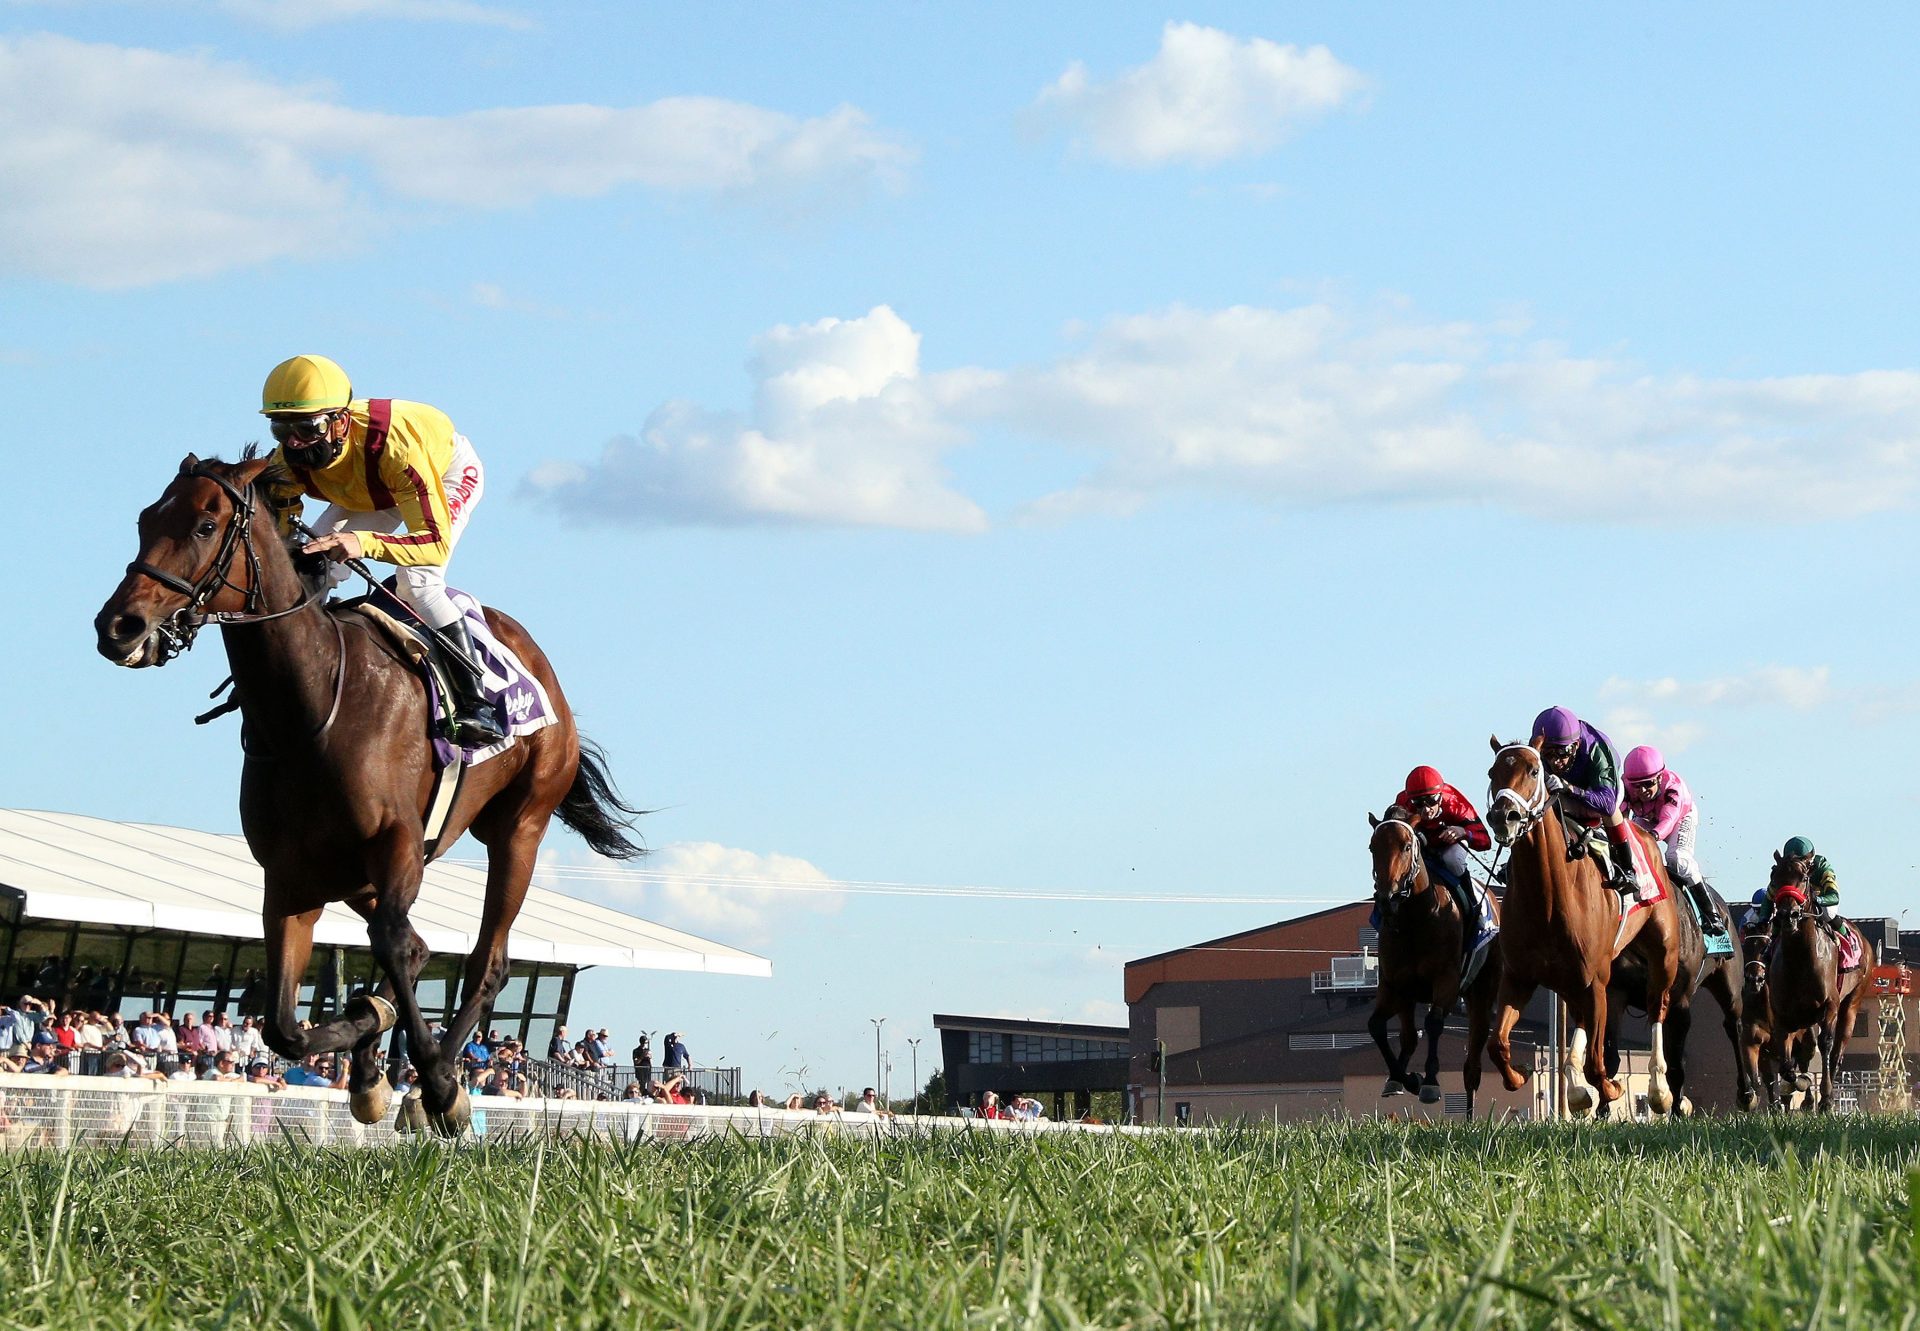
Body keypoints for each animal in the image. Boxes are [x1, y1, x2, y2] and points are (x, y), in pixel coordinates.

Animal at [93, 455, 645, 1129]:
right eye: (146, 519)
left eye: (204, 524)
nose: (119, 626)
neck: (311, 708)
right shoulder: (291, 879)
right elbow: (284, 1027)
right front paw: (366, 1048)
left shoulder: (399, 844)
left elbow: (390, 946)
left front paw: (434, 1080)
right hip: (357, 873)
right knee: (418, 944)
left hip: (519, 828)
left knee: (484, 961)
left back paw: (434, 1072)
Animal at [1367, 810, 1497, 1113]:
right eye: (1372, 847)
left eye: (1406, 846)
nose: (1386, 898)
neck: (1416, 918)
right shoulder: (1394, 985)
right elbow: (1377, 1026)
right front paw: (1406, 1078)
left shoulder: (1446, 980)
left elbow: (1434, 1023)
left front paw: (1428, 1082)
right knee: (1408, 1036)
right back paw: (1397, 1079)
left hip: (1481, 993)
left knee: (1472, 1063)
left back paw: (1471, 1114)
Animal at [1474, 737, 1689, 1113]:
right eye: (1492, 771)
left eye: (1533, 770)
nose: (1504, 816)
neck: (1547, 896)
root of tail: (1644, 833)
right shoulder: (1519, 978)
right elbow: (1497, 1043)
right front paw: (1519, 1076)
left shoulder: (1595, 981)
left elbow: (1596, 1061)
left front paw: (1611, 1089)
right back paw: (1575, 1090)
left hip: (1662, 954)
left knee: (1656, 1006)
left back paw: (1659, 1089)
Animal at [1597, 875, 1751, 1113]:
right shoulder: (1616, 993)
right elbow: (1611, 1056)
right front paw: (1602, 1110)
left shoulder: (1679, 1001)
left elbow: (1677, 1065)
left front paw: (1678, 1110)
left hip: (1729, 986)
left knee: (1733, 1027)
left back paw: (1746, 1093)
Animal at [1743, 852, 1873, 1113]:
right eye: (1775, 876)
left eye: (1803, 877)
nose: (1788, 914)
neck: (1800, 959)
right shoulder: (1782, 1017)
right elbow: (1785, 1066)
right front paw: (1794, 1087)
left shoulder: (1829, 1006)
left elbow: (1825, 1045)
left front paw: (1824, 1098)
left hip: (1852, 1003)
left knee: (1837, 1051)